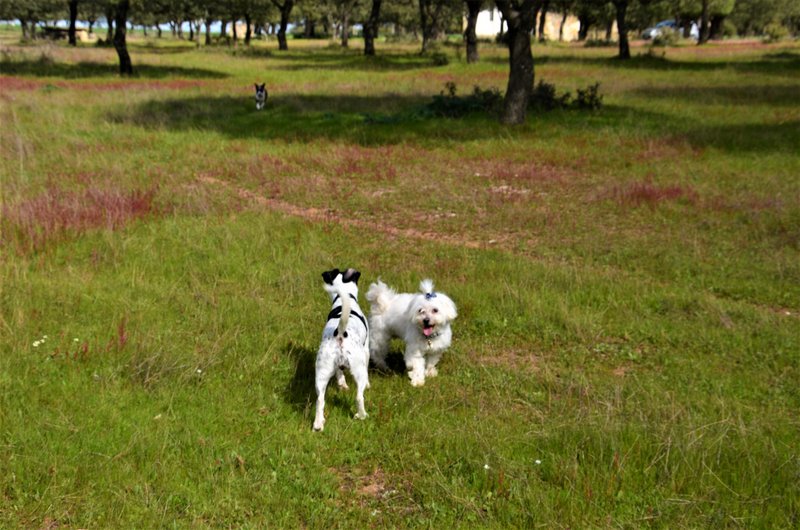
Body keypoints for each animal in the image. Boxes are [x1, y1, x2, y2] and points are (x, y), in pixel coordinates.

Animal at [316, 266, 372, 432]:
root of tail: (340, 333)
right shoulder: (366, 350)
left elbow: (339, 374)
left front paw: (342, 385)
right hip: (359, 370)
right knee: (359, 397)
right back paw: (362, 415)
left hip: (321, 373)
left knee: (320, 400)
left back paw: (318, 424)